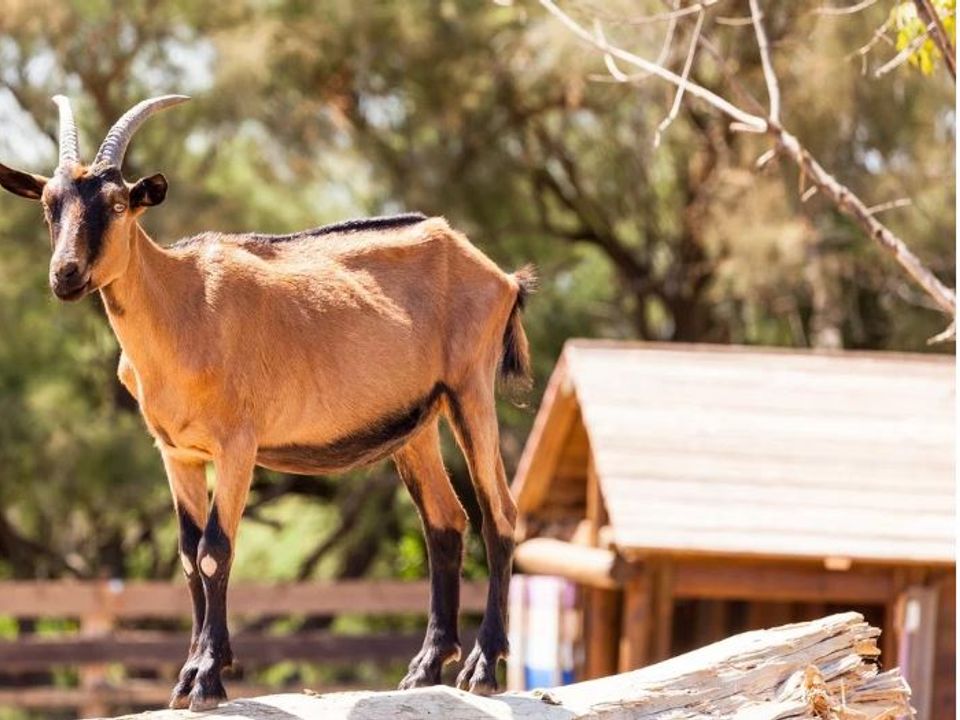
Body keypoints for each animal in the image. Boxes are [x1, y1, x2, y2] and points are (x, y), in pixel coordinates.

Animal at [0, 94, 532, 708]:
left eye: (115, 203)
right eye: (49, 205)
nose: (66, 275)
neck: (182, 302)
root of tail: (500, 276)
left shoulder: (237, 445)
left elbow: (214, 549)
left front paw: (208, 676)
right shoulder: (176, 452)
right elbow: (187, 554)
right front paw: (188, 675)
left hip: (471, 391)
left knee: (500, 514)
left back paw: (483, 667)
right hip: (416, 424)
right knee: (445, 522)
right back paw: (423, 669)